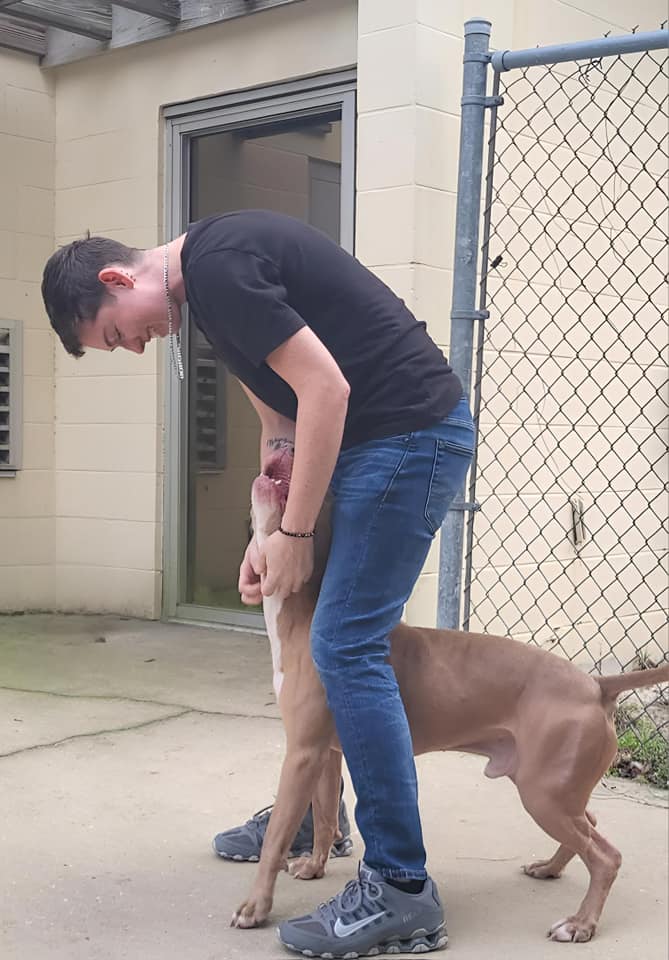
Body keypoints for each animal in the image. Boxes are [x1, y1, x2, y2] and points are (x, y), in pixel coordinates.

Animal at [231, 452, 668, 944]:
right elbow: (324, 816)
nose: (282, 457)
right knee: (589, 827)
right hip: (556, 789)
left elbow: (276, 838)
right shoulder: (325, 753)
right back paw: (550, 867)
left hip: (545, 792)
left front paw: (256, 907)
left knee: (606, 855)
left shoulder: (302, 754)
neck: (305, 611)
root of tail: (596, 685)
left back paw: (580, 923)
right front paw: (314, 865)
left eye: (306, 499)